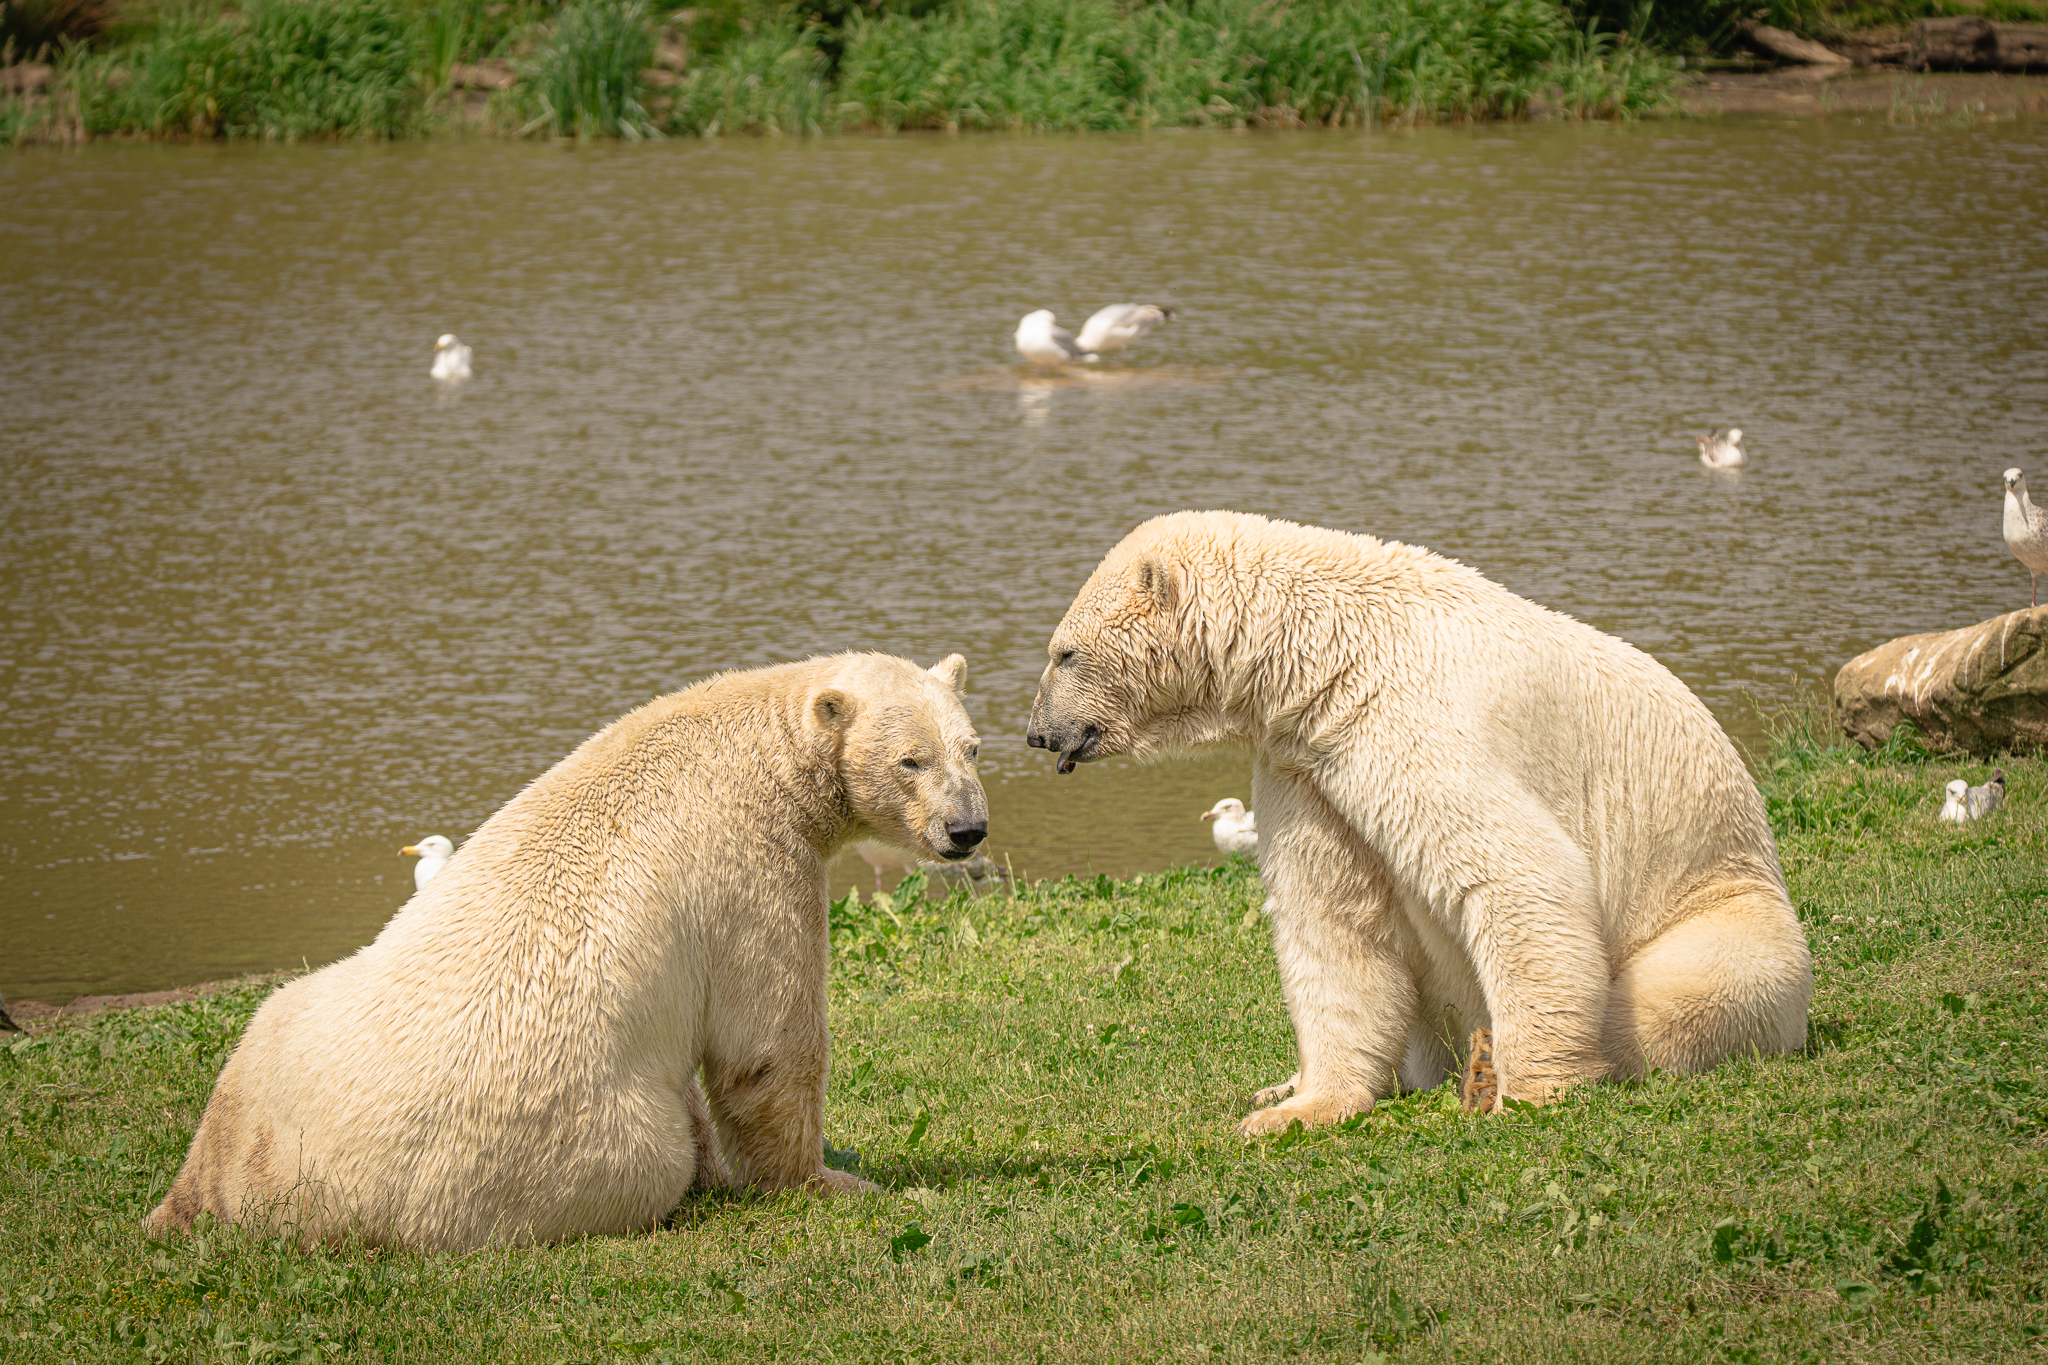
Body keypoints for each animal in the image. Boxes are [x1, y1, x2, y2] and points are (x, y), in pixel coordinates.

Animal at [144, 652, 987, 1250]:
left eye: (972, 747)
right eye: (911, 759)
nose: (967, 829)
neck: (755, 743)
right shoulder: (753, 863)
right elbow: (766, 1046)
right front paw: (830, 1180)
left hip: (275, 1045)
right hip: (571, 1143)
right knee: (650, 1153)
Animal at [1025, 511, 1811, 1131]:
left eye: (1065, 653)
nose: (1036, 733)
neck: (1331, 648)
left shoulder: (1410, 721)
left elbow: (1518, 874)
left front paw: (1528, 1090)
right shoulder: (1308, 765)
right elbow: (1333, 920)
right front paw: (1297, 1107)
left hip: (1724, 908)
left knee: (1667, 994)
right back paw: (1285, 1080)